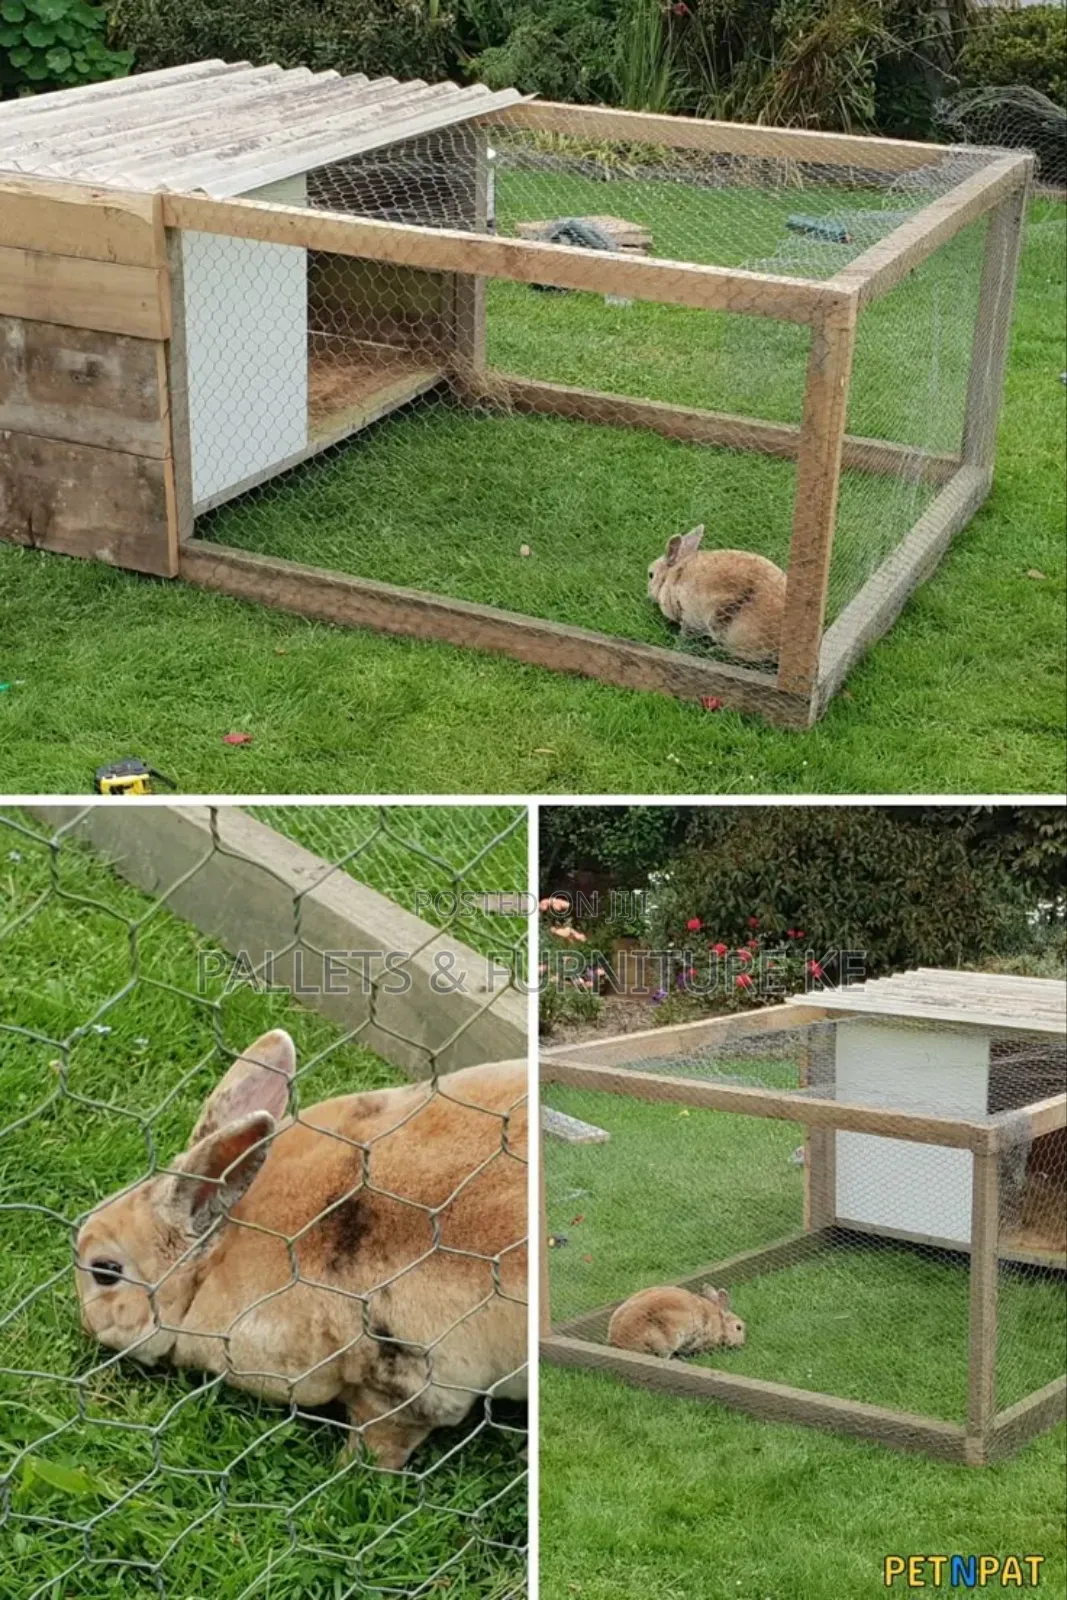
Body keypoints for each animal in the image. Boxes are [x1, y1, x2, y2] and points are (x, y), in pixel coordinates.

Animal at [74, 1029, 527, 1471]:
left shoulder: (405, 1386)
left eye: (105, 1271)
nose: (85, 1323)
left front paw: (350, 1471)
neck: (214, 1267)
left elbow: (382, 1439)